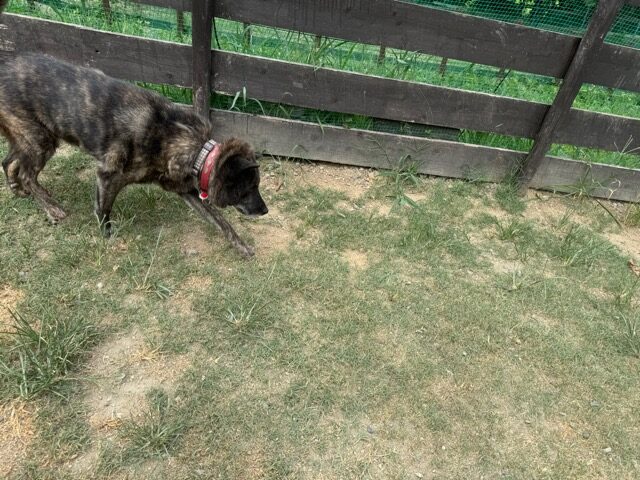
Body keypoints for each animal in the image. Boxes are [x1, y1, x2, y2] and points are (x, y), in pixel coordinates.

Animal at [0, 4, 267, 257]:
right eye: (249, 188)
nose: (265, 210)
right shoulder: (108, 175)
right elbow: (103, 208)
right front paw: (106, 235)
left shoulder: (185, 190)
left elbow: (221, 222)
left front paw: (242, 246)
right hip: (40, 141)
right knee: (26, 173)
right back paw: (51, 207)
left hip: (29, 137)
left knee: (8, 162)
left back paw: (19, 190)